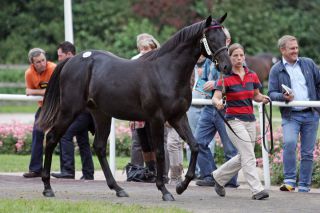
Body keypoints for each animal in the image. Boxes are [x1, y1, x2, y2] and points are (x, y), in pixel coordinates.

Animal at [38, 13, 231, 201]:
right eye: (211, 38)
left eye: (225, 38)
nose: (227, 66)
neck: (166, 70)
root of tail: (72, 61)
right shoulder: (156, 119)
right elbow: (159, 152)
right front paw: (164, 190)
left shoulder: (177, 117)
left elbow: (195, 145)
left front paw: (181, 186)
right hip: (69, 111)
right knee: (52, 138)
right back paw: (47, 187)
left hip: (101, 114)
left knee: (99, 147)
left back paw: (118, 188)